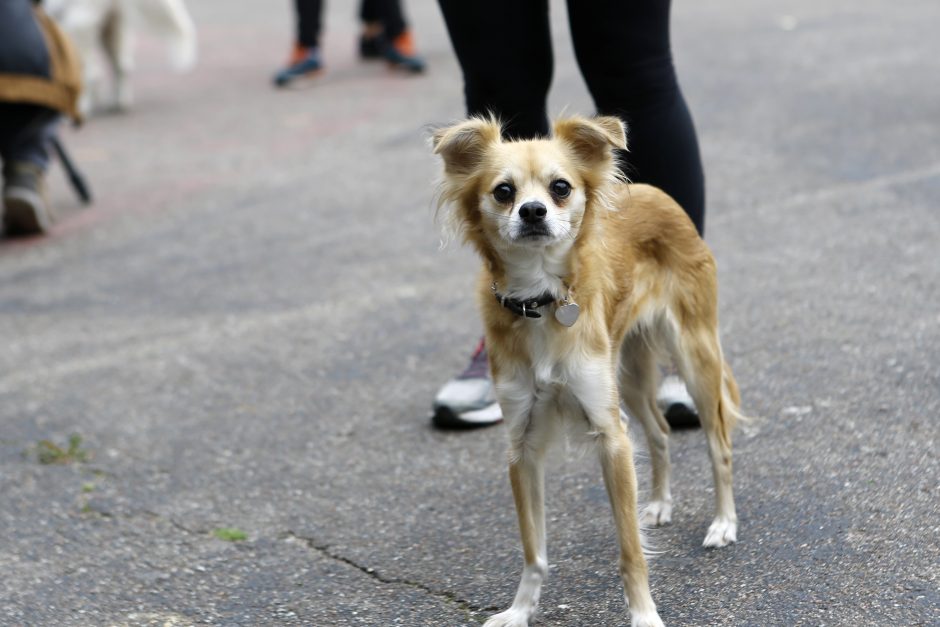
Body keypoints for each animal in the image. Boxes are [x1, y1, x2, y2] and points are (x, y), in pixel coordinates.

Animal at [46, 0, 197, 115]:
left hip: (77, 24)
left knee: (93, 73)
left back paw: (81, 108)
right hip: (112, 28)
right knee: (122, 67)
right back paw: (118, 103)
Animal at [434, 116, 748, 627]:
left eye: (561, 187)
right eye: (503, 191)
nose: (533, 211)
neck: (540, 301)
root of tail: (655, 192)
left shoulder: (610, 435)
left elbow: (630, 550)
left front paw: (644, 616)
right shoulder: (523, 447)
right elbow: (533, 549)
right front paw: (519, 610)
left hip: (694, 357)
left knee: (718, 445)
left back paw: (723, 523)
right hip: (630, 376)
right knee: (659, 433)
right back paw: (657, 504)